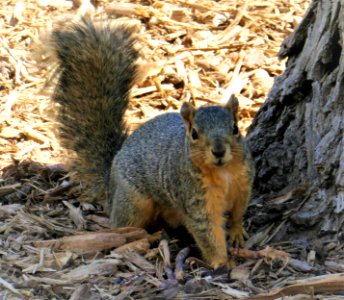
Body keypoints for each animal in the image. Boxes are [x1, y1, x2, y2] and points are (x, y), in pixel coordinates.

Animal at [45, 17, 254, 268]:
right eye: (194, 134)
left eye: (235, 128)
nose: (219, 151)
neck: (223, 172)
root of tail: (110, 181)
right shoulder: (195, 199)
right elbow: (208, 232)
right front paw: (220, 262)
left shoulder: (243, 184)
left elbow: (239, 211)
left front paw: (236, 232)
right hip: (134, 201)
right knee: (120, 224)